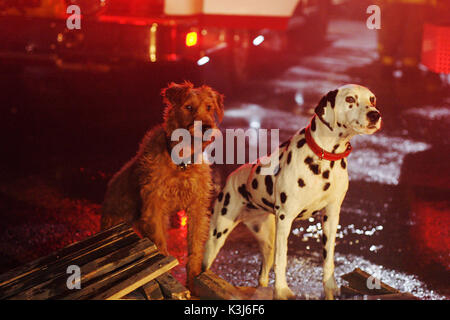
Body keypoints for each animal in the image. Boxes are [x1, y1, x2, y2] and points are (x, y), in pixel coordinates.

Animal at [100, 80, 223, 290]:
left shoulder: (197, 209)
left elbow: (195, 249)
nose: (207, 127)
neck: (181, 163)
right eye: (188, 107)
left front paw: (193, 280)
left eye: (209, 107)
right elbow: (160, 246)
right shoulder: (154, 208)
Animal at [202, 84, 382, 298]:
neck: (323, 158)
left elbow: (328, 257)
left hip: (267, 240)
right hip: (217, 234)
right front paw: (282, 290)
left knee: (263, 273)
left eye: (372, 99)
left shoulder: (331, 216)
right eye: (350, 99)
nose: (375, 115)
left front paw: (330, 286)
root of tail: (232, 176)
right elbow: (282, 259)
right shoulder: (285, 218)